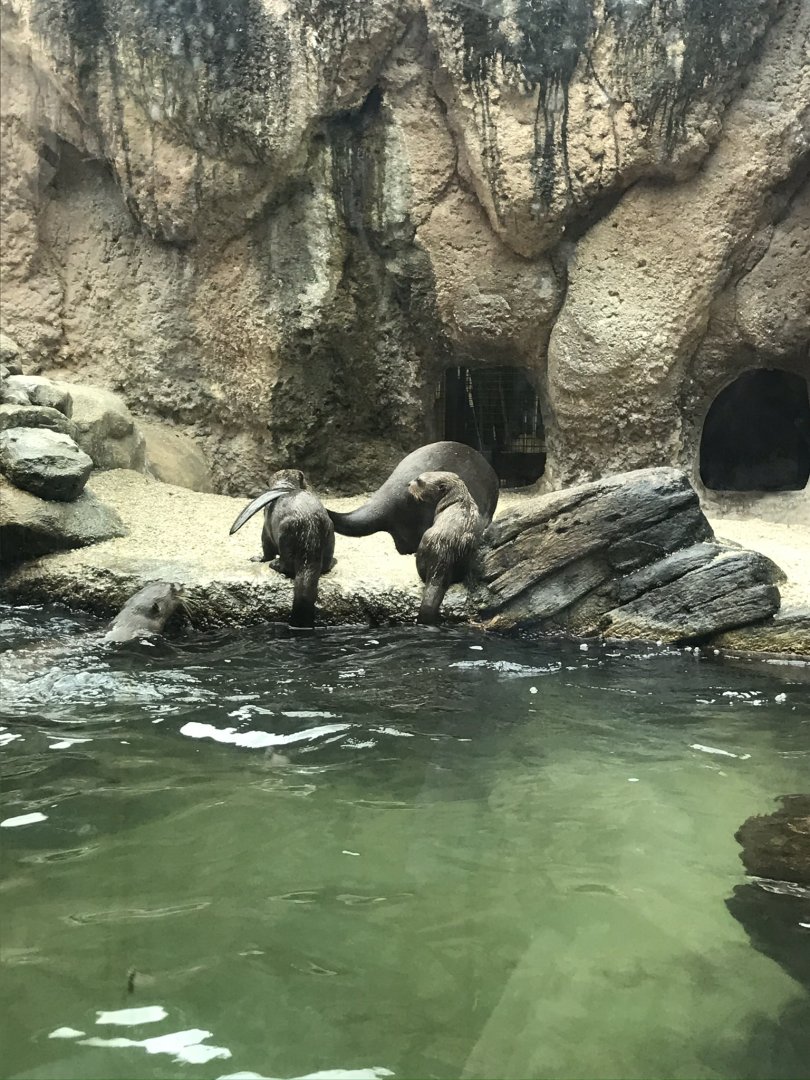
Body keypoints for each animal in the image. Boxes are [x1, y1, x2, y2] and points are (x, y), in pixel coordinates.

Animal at [229, 469, 335, 629]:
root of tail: (310, 529)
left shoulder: (266, 526)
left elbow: (266, 547)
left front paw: (258, 558)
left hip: (285, 535)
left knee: (287, 565)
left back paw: (275, 564)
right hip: (330, 529)